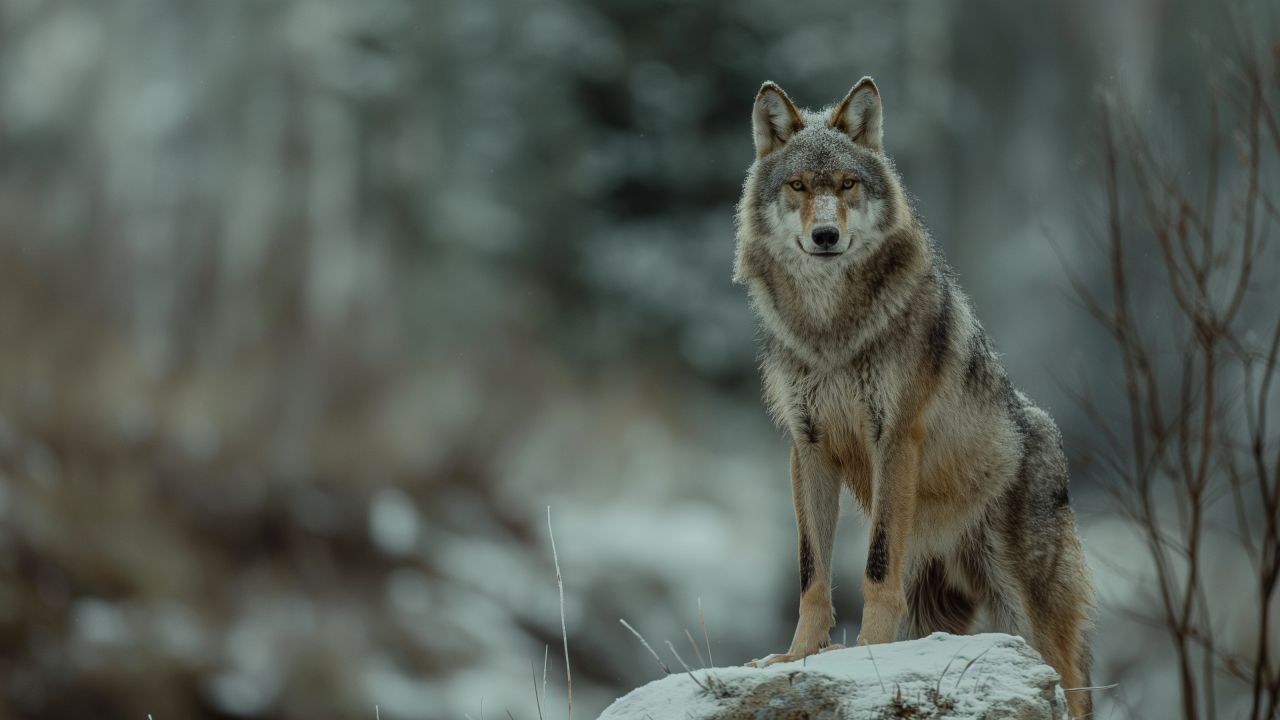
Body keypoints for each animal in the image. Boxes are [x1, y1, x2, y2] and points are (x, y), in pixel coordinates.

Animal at [733, 78, 1093, 718]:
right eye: (798, 186)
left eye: (847, 184)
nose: (825, 236)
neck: (831, 332)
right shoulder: (807, 447)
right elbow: (811, 573)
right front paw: (796, 657)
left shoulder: (894, 437)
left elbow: (876, 567)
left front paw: (869, 652)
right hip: (943, 606)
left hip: (1029, 615)